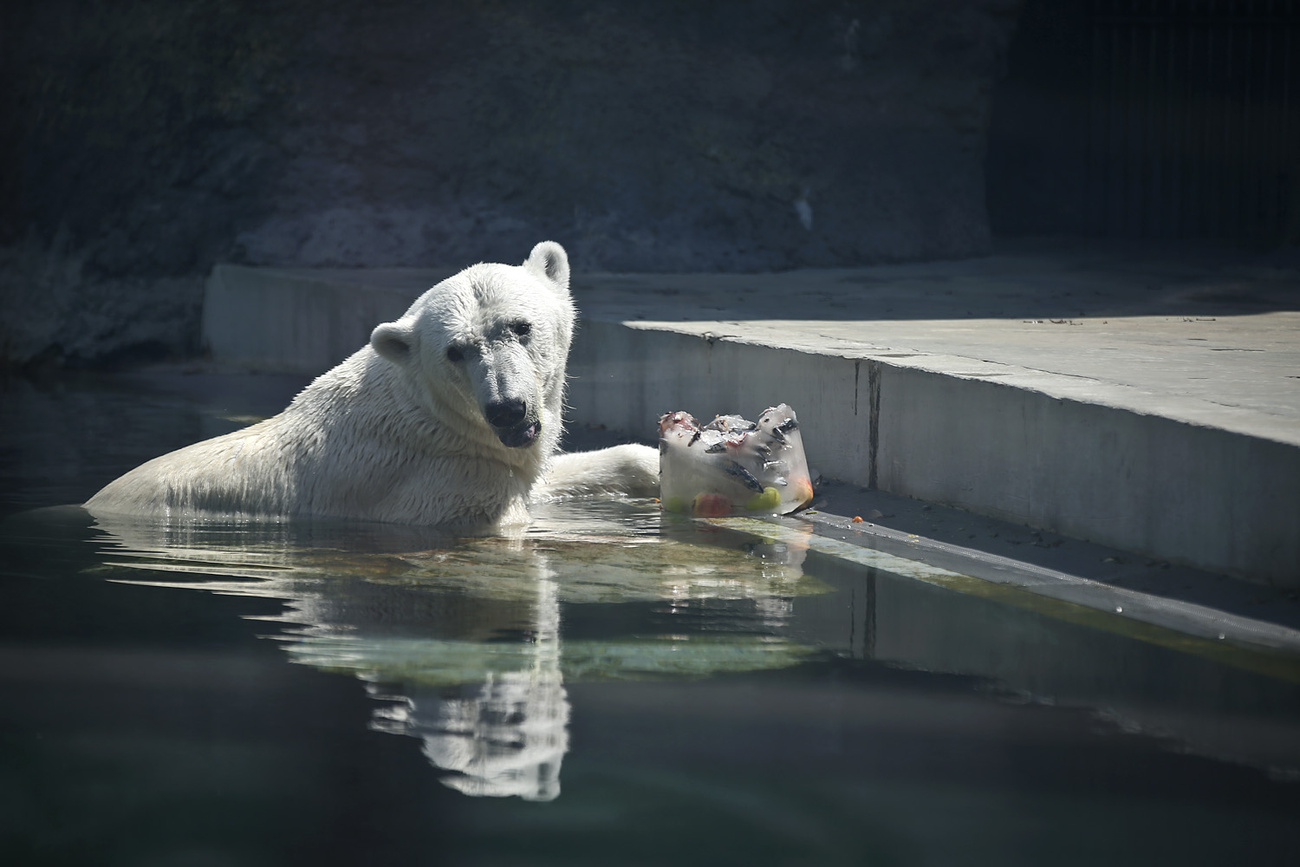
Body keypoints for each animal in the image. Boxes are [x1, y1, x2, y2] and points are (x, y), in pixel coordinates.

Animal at [86, 243, 660, 530]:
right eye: (456, 352)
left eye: (520, 327)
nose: (508, 409)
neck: (429, 422)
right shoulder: (432, 487)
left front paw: (655, 465)